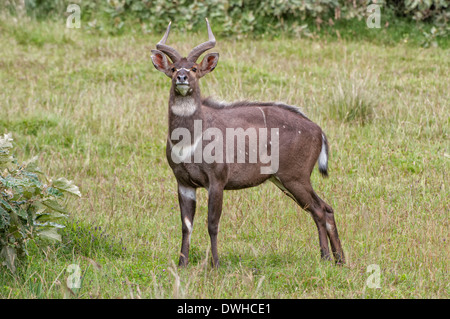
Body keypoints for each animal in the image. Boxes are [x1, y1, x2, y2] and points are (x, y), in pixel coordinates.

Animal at [153, 17, 346, 268]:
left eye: (194, 68)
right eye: (174, 68)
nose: (182, 78)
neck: (190, 141)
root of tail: (318, 131)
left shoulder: (217, 180)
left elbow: (212, 223)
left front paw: (215, 264)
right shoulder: (184, 182)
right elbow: (186, 226)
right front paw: (182, 264)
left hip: (296, 177)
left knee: (321, 209)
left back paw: (328, 258)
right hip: (283, 181)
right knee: (322, 208)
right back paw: (337, 259)